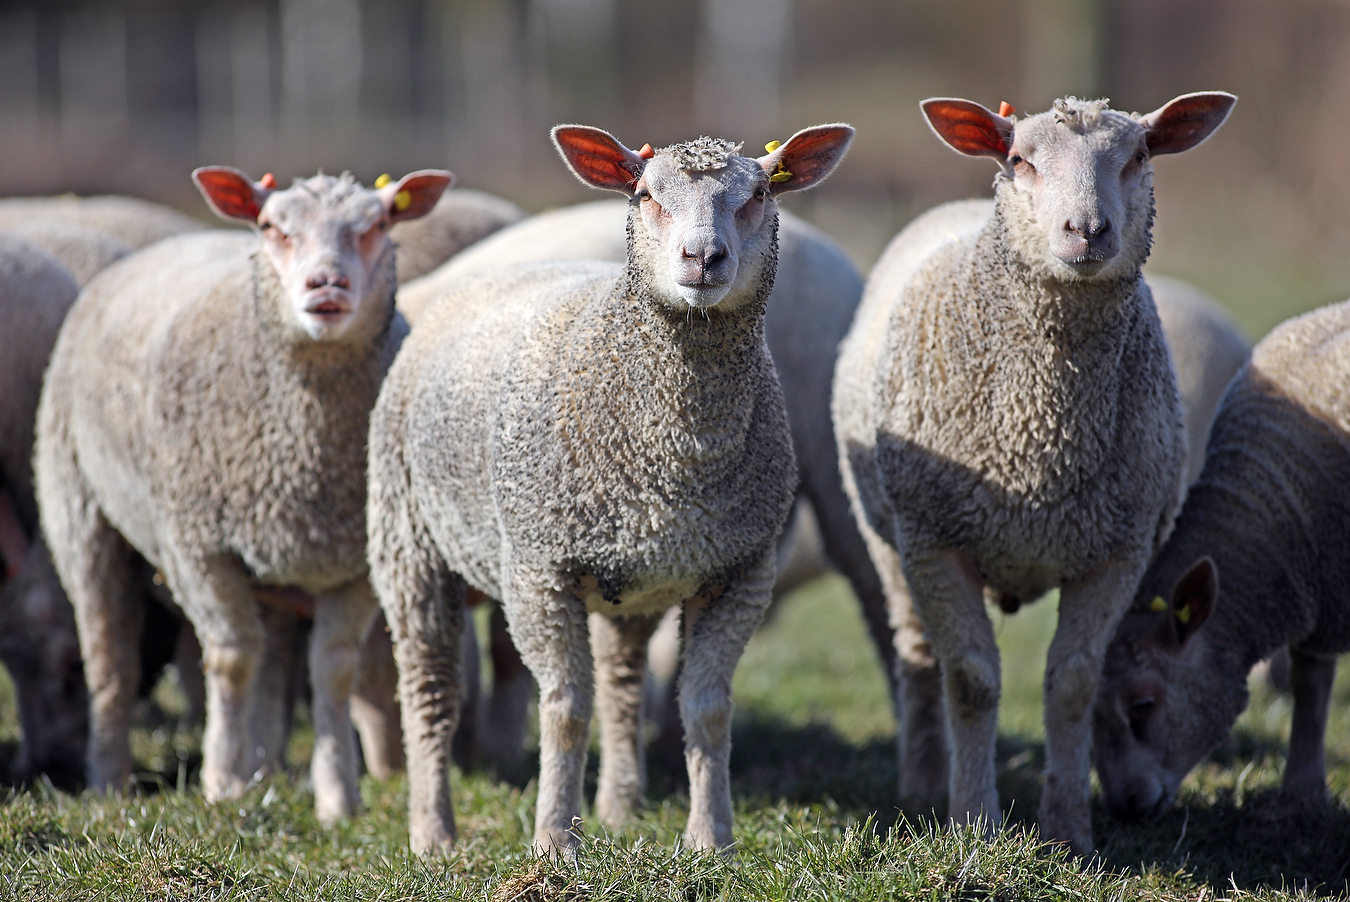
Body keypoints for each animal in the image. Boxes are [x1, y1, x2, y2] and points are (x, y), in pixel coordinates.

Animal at [31, 165, 450, 820]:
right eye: (273, 227)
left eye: (377, 225)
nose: (326, 283)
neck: (306, 450)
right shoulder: (199, 546)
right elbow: (230, 660)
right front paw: (223, 782)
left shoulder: (355, 561)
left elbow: (332, 670)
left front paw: (338, 798)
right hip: (79, 510)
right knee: (110, 661)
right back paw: (109, 779)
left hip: (274, 559)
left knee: (273, 659)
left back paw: (265, 769)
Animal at [367, 121, 853, 853]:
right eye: (645, 194)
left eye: (760, 194)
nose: (702, 257)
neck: (678, 453)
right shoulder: (539, 570)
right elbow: (566, 709)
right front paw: (553, 842)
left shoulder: (740, 571)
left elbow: (707, 708)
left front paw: (711, 838)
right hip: (408, 541)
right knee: (429, 686)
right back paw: (432, 831)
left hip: (636, 576)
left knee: (623, 682)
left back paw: (620, 806)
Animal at [1096, 299, 1350, 820]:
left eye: (1142, 705)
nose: (1125, 806)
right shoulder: (1321, 589)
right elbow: (1310, 685)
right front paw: (1302, 790)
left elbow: (1311, 687)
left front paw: (1304, 790)